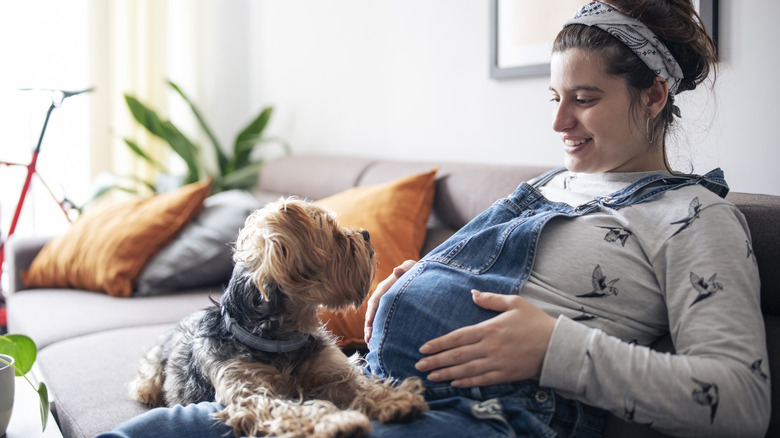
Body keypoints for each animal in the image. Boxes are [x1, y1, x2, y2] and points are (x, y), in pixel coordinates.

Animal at [130, 198, 430, 438]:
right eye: (334, 234)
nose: (366, 233)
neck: (281, 336)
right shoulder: (249, 391)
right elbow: (291, 408)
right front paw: (337, 422)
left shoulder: (332, 369)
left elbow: (360, 383)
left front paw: (394, 400)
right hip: (151, 377)